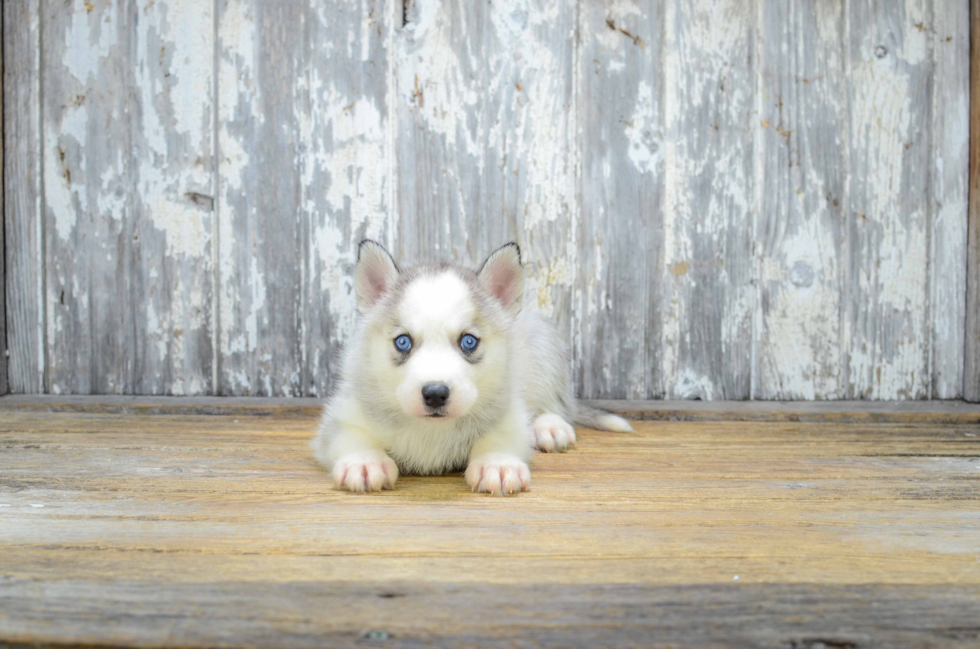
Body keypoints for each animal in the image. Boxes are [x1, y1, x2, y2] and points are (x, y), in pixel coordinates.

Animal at [314, 240, 636, 494]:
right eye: (402, 342)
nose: (435, 394)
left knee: (554, 404)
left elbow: (501, 435)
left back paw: (550, 426)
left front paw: (498, 463)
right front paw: (364, 461)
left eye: (468, 341)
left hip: (543, 346)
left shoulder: (508, 411)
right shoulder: (343, 413)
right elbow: (349, 434)